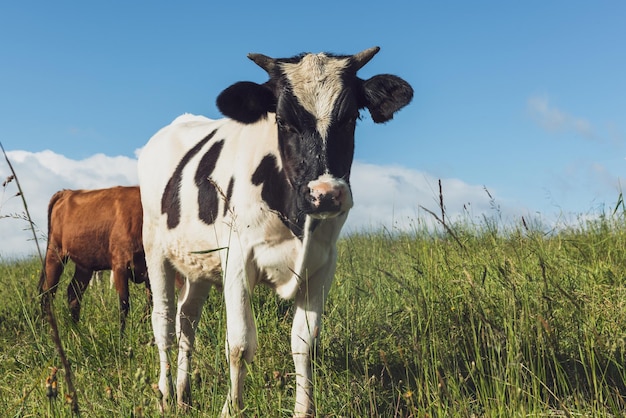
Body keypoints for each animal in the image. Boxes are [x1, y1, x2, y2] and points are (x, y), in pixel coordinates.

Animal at [38, 186, 150, 334]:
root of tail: (67, 192)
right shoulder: (120, 265)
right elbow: (124, 304)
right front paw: (122, 337)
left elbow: (151, 305)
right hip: (55, 252)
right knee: (47, 292)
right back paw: (45, 330)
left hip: (85, 265)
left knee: (73, 293)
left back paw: (76, 331)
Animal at [136, 47, 410, 416]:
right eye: (282, 120)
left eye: (351, 117)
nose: (325, 193)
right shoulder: (238, 259)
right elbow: (239, 344)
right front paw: (231, 408)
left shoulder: (323, 265)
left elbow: (304, 343)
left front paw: (303, 410)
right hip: (154, 247)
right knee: (163, 321)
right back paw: (164, 395)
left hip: (199, 265)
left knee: (186, 321)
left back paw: (183, 394)